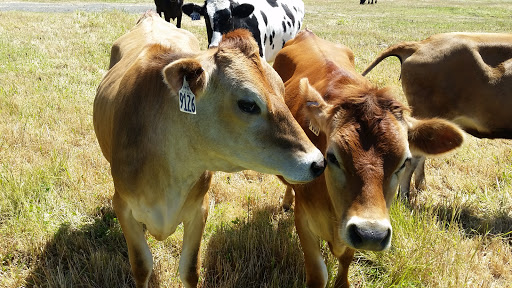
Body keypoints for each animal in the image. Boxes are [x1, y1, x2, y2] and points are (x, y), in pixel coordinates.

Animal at [92, 12, 324, 288]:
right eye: (247, 104)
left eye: (282, 89)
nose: (317, 162)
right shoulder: (123, 207)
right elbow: (141, 266)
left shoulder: (199, 209)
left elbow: (190, 269)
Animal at [274, 29, 466, 288]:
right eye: (332, 157)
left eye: (404, 161)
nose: (371, 234)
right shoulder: (304, 221)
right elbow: (317, 274)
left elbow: (346, 260)